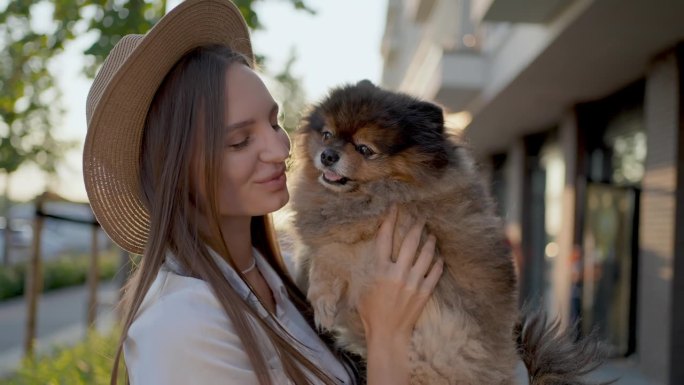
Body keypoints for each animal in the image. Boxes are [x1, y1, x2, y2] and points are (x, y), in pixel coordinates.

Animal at [288, 79, 604, 382]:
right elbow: (314, 249)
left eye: (365, 150)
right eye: (327, 135)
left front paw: (322, 301)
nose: (328, 156)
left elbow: (334, 251)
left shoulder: (396, 237)